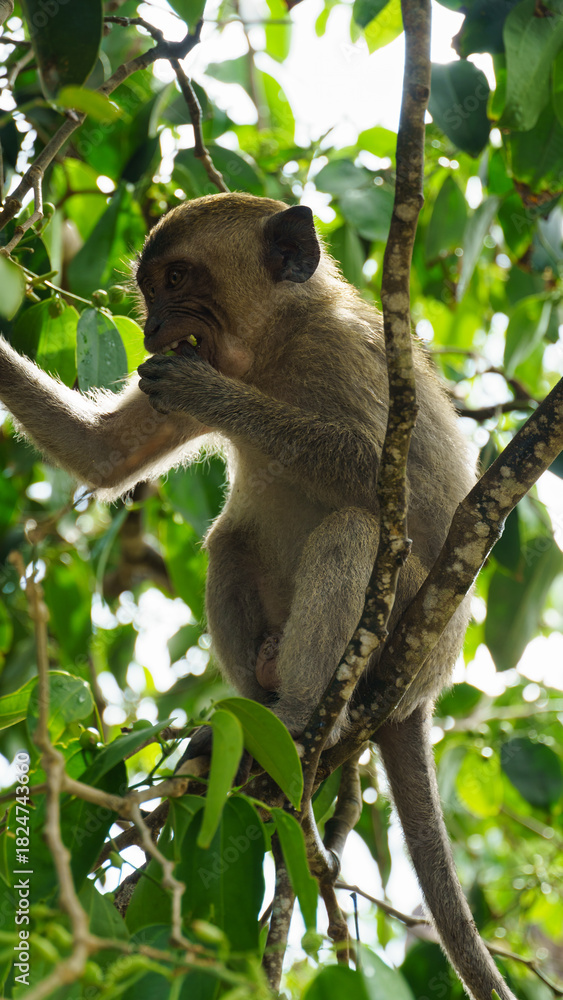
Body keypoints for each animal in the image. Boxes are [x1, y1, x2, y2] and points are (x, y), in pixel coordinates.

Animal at [0, 193, 517, 1000]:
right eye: (151, 287)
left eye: (177, 278)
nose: (152, 326)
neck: (271, 350)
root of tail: (419, 696)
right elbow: (105, 454)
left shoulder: (351, 355)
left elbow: (383, 479)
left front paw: (208, 393)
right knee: (230, 544)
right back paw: (248, 723)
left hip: (407, 641)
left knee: (355, 528)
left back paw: (301, 717)